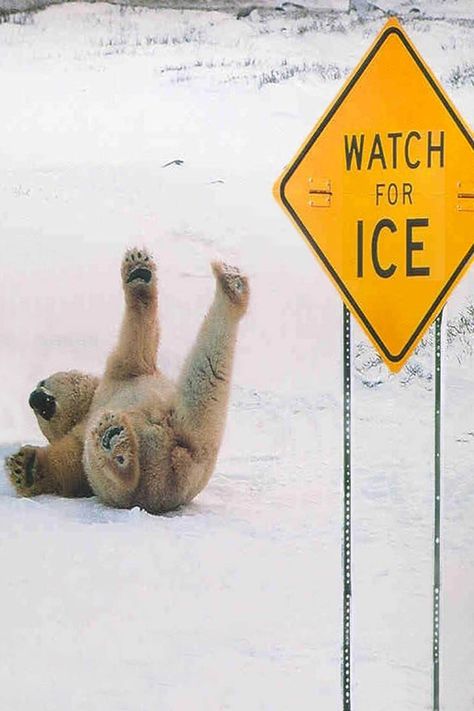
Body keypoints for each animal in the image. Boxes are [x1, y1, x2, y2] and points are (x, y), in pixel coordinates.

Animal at [6, 250, 248, 512]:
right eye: (40, 411)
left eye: (42, 383)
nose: (35, 398)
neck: (91, 402)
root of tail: (171, 484)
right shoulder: (86, 427)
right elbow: (71, 465)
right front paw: (25, 467)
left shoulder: (120, 374)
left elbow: (136, 342)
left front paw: (139, 271)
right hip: (195, 430)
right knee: (208, 373)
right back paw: (117, 448)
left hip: (192, 428)